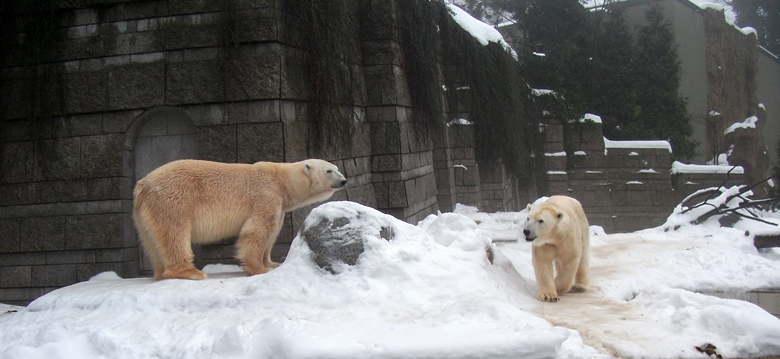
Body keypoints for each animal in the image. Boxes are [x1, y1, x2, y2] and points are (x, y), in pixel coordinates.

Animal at [134, 160, 348, 282]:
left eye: (337, 169)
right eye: (329, 171)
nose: (344, 180)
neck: (282, 180)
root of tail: (142, 185)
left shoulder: (279, 204)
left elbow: (272, 233)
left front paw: (271, 263)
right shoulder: (265, 194)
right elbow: (257, 230)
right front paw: (258, 269)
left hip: (145, 215)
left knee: (153, 241)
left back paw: (159, 273)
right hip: (174, 199)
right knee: (174, 233)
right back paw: (191, 272)